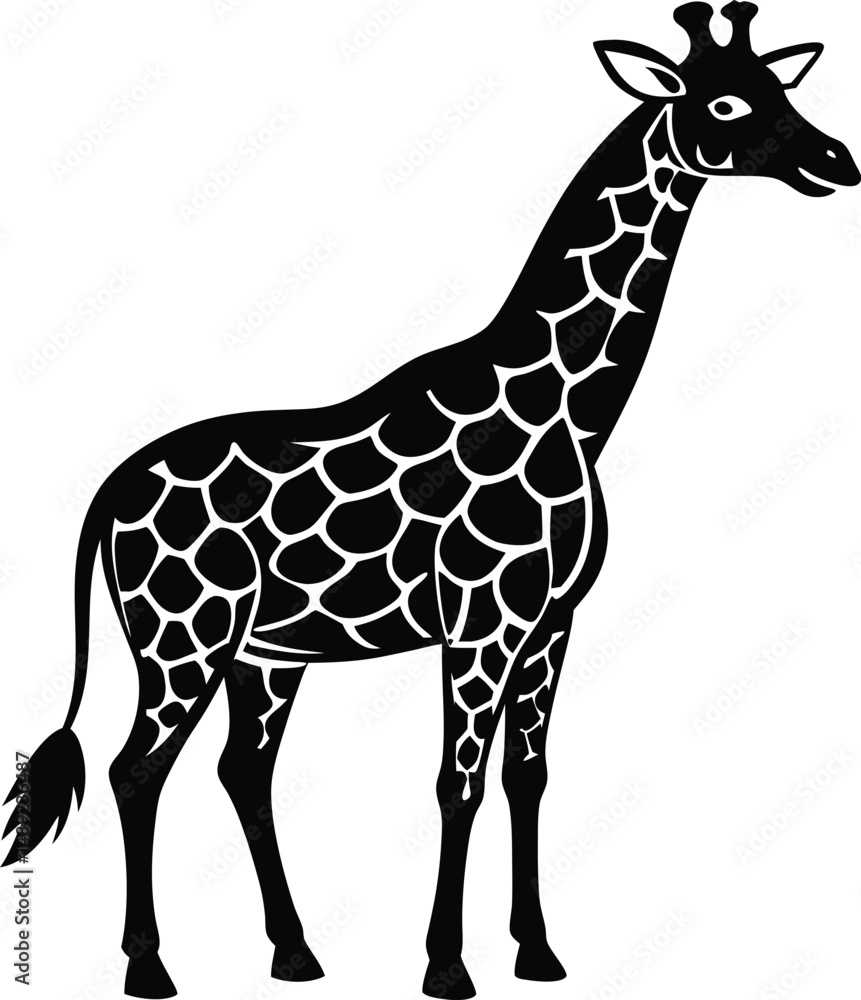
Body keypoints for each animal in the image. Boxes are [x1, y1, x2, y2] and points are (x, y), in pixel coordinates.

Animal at [3, 4, 858, 998]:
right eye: (724, 102)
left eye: (780, 87)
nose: (837, 159)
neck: (567, 409)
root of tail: (108, 492)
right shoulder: (479, 620)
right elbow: (459, 784)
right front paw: (447, 967)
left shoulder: (551, 621)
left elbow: (528, 775)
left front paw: (537, 952)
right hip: (185, 635)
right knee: (136, 769)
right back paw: (150, 968)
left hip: (265, 652)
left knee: (241, 770)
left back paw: (295, 954)